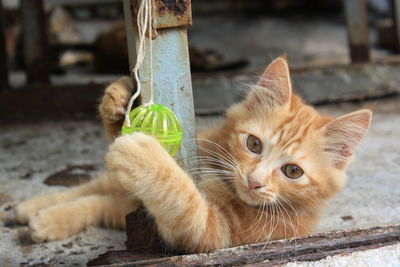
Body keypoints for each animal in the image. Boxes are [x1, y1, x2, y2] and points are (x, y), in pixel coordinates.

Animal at [15, 56, 372, 253]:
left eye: (293, 172)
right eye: (254, 144)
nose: (254, 181)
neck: (224, 184)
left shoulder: (214, 235)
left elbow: (180, 198)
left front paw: (144, 157)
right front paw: (118, 99)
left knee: (99, 197)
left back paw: (43, 218)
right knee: (95, 187)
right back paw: (31, 207)